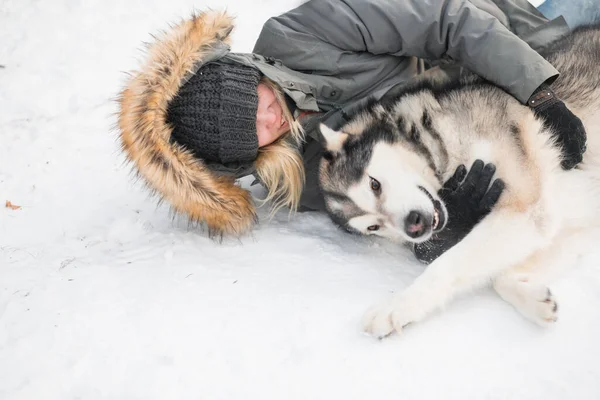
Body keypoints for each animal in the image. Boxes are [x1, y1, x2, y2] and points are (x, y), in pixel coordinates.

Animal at [318, 25, 600, 338]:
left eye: (374, 184)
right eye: (373, 227)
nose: (414, 227)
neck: (442, 154)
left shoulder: (527, 209)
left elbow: (447, 265)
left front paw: (395, 308)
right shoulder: (569, 222)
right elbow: (499, 277)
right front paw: (534, 300)